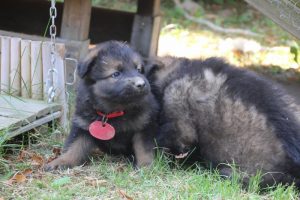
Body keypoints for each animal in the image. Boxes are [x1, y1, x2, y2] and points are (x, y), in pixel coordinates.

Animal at [45, 41, 158, 170]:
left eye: (138, 70)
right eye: (116, 74)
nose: (141, 84)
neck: (115, 112)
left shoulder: (144, 126)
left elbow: (143, 149)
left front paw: (145, 166)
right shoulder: (83, 125)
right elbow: (75, 146)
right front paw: (61, 161)